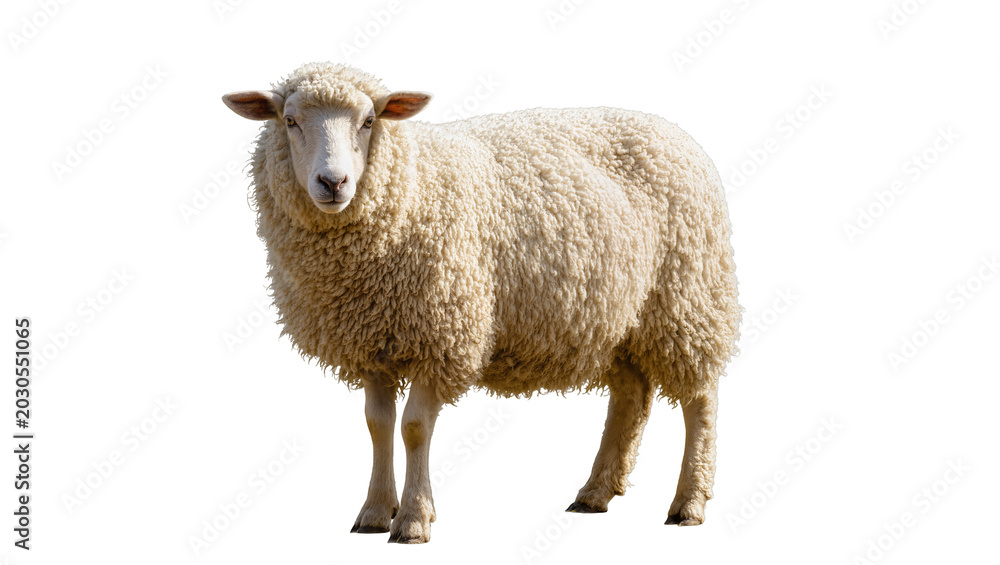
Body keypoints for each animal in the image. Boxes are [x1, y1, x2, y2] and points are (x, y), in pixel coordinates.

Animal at [222, 62, 740, 544]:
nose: (333, 183)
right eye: (290, 120)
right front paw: (374, 512)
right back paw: (595, 492)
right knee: (632, 396)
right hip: (617, 318)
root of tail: (673, 130)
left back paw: (688, 502)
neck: (413, 185)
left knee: (700, 401)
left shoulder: (443, 334)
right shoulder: (373, 341)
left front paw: (413, 519)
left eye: (369, 120)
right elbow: (377, 425)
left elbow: (414, 428)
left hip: (688, 298)